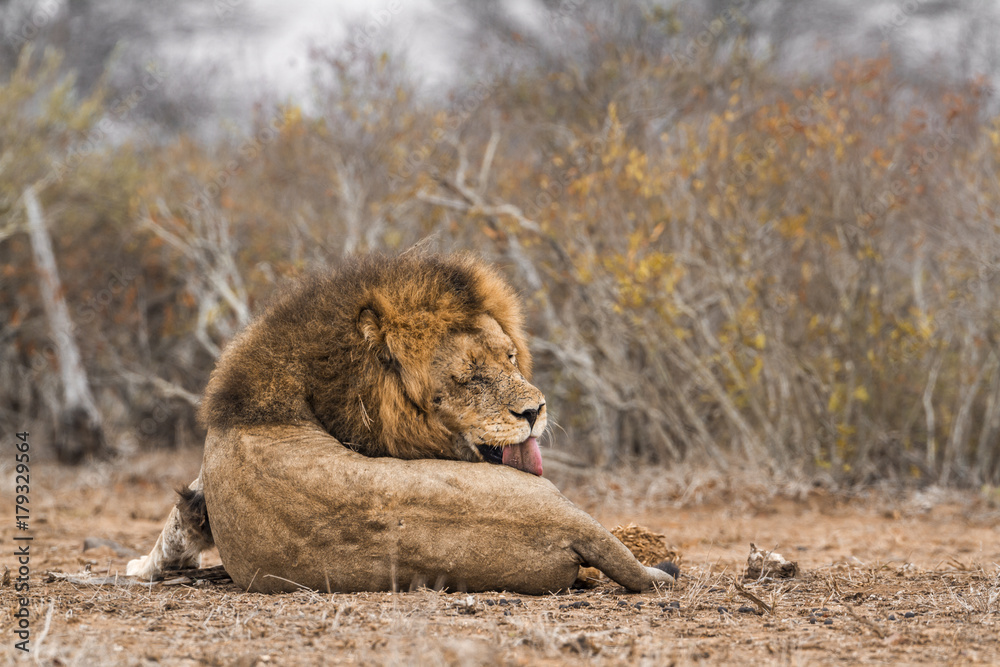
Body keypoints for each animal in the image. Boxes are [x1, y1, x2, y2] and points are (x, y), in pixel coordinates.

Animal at [128, 252, 675, 594]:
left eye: (511, 357)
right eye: (469, 377)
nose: (535, 411)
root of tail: (568, 525)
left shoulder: (201, 487)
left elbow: (173, 528)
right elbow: (174, 528)